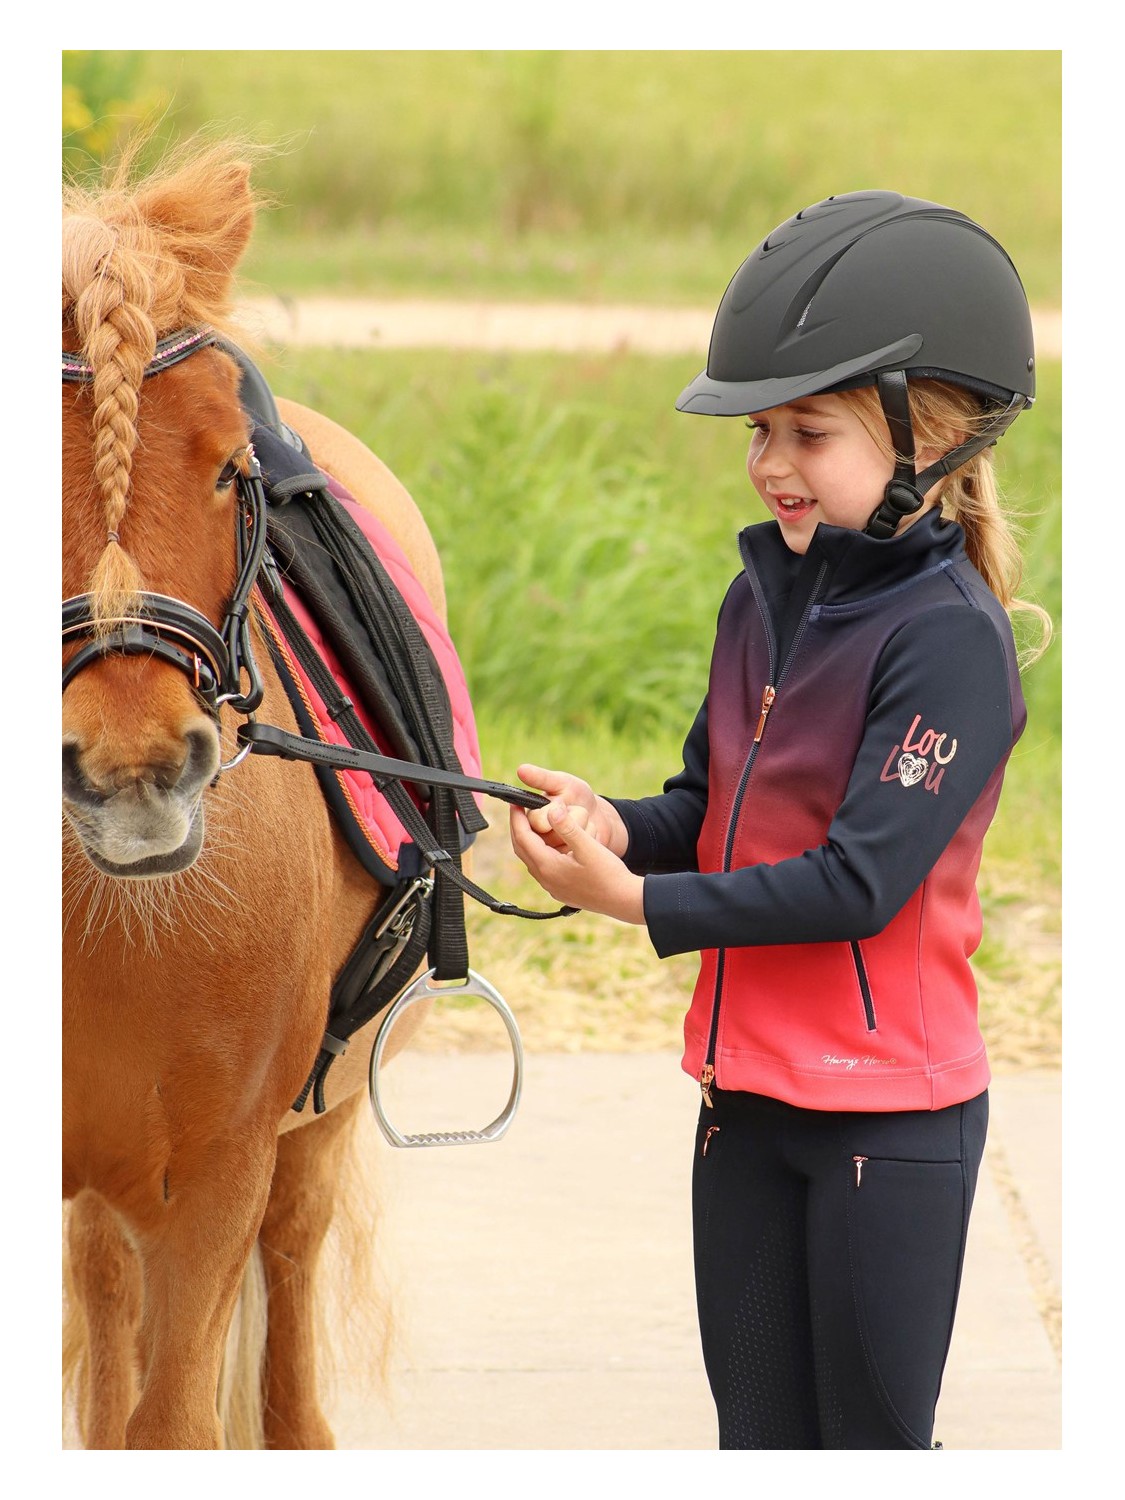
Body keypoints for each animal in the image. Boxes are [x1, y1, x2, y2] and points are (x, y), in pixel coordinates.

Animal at [61, 146, 456, 1446]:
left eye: (231, 467)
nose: (133, 770)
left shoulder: (217, 1181)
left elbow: (175, 1419)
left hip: (312, 1132)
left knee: (289, 1273)